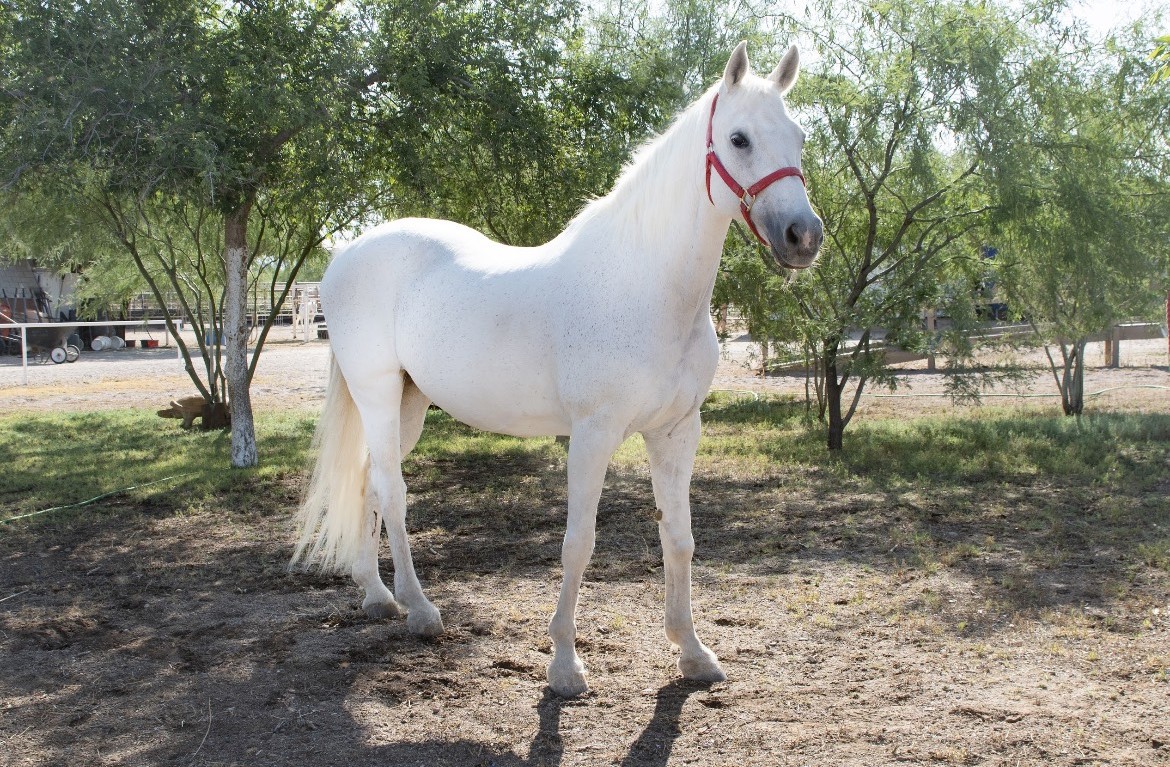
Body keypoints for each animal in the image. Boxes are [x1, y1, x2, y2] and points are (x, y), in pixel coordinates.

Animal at [292, 43, 823, 701]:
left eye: (799, 136)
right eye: (739, 138)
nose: (804, 237)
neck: (644, 288)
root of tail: (346, 255)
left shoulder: (678, 432)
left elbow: (679, 537)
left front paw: (694, 653)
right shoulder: (592, 435)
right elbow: (578, 544)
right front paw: (566, 667)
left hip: (409, 403)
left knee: (368, 483)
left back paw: (377, 597)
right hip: (377, 392)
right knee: (392, 490)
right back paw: (420, 611)